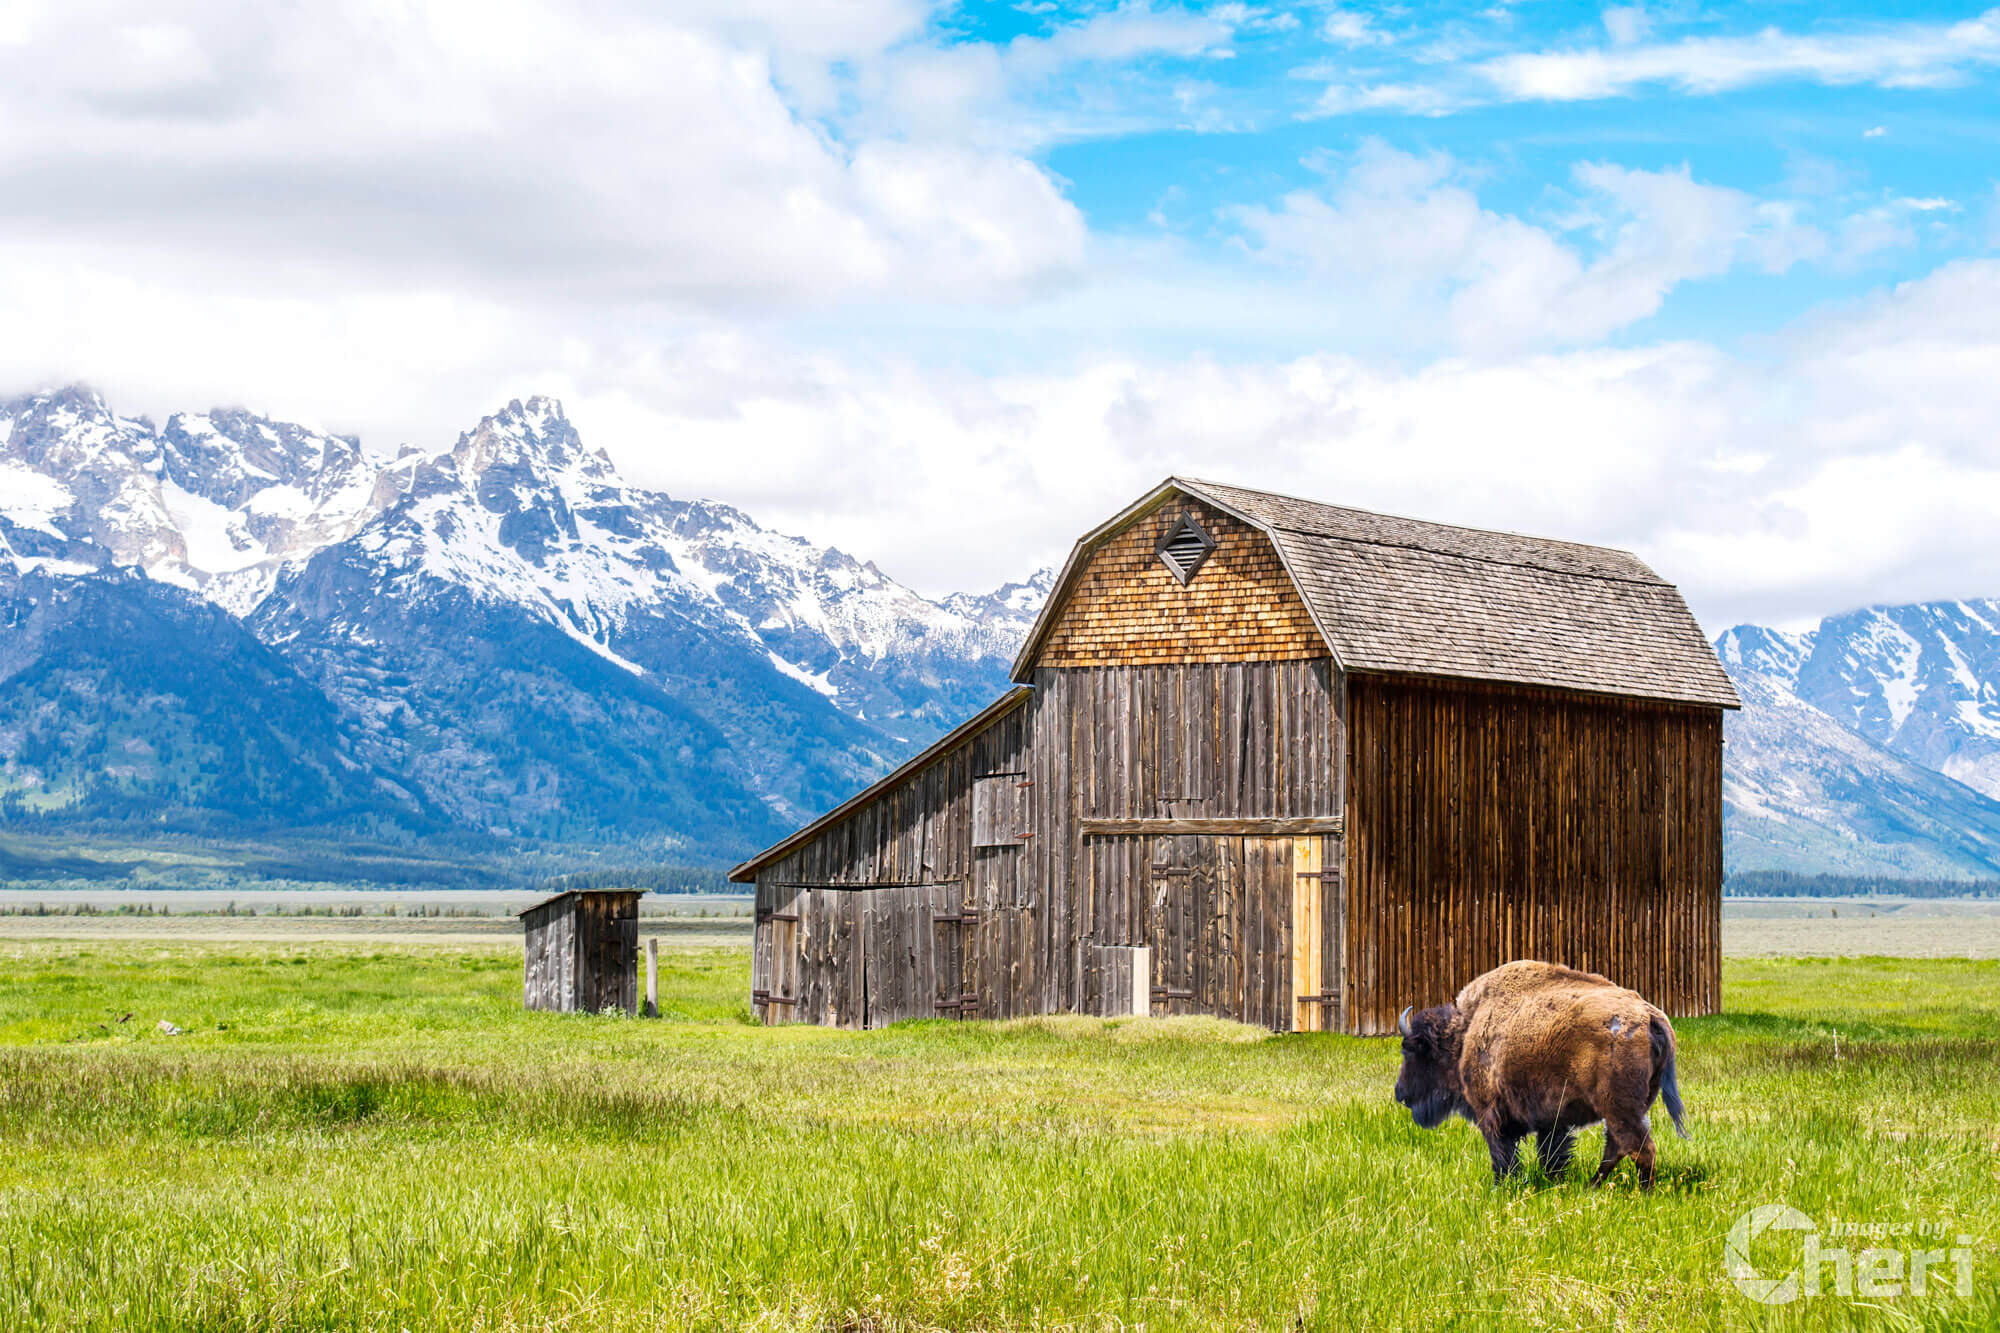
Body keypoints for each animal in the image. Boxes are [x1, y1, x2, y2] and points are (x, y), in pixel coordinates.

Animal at [1393, 960, 1688, 1188]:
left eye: (1412, 1052)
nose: (1400, 1093)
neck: (1465, 1033)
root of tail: (1649, 1015)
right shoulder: (1552, 1121)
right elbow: (1551, 1153)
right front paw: (1552, 1179)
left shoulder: (1490, 1112)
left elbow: (1502, 1153)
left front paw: (1502, 1185)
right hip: (1630, 1107)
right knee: (1617, 1147)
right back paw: (1592, 1185)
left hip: (1619, 1108)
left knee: (1639, 1148)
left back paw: (1642, 1192)